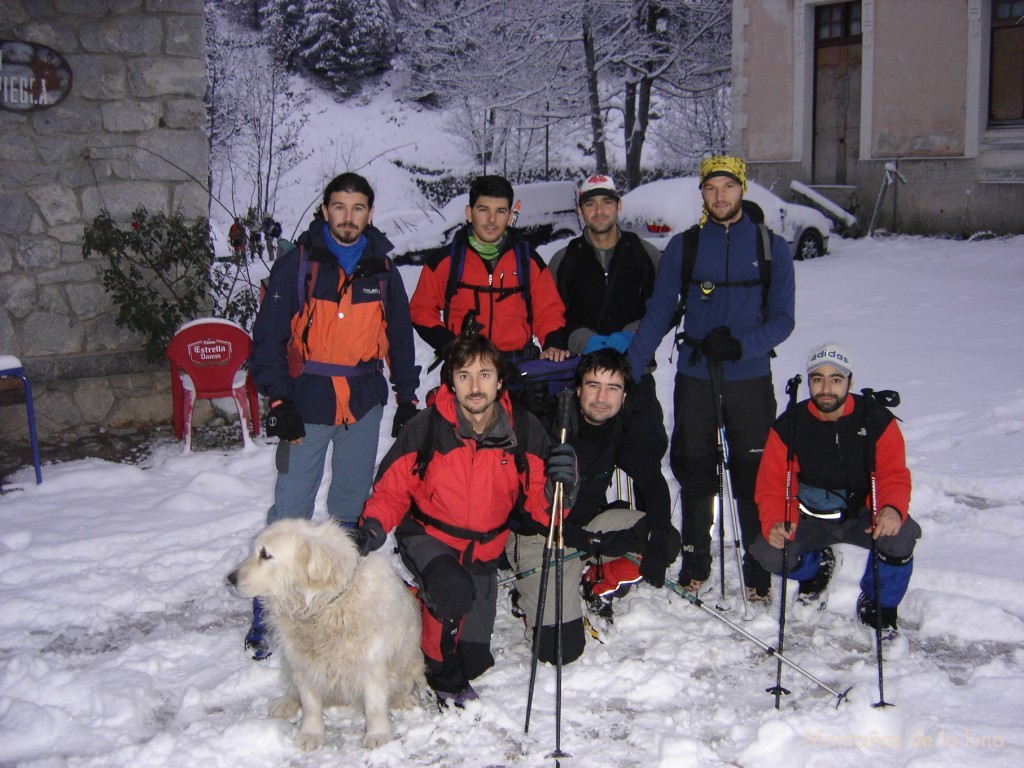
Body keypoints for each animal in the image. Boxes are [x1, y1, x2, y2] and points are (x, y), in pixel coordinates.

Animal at [228, 518, 423, 753]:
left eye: (265, 554)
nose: (230, 578)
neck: (323, 608)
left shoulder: (372, 665)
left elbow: (375, 706)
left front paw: (377, 735)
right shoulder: (303, 665)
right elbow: (310, 705)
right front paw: (311, 734)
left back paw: (402, 700)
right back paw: (285, 703)